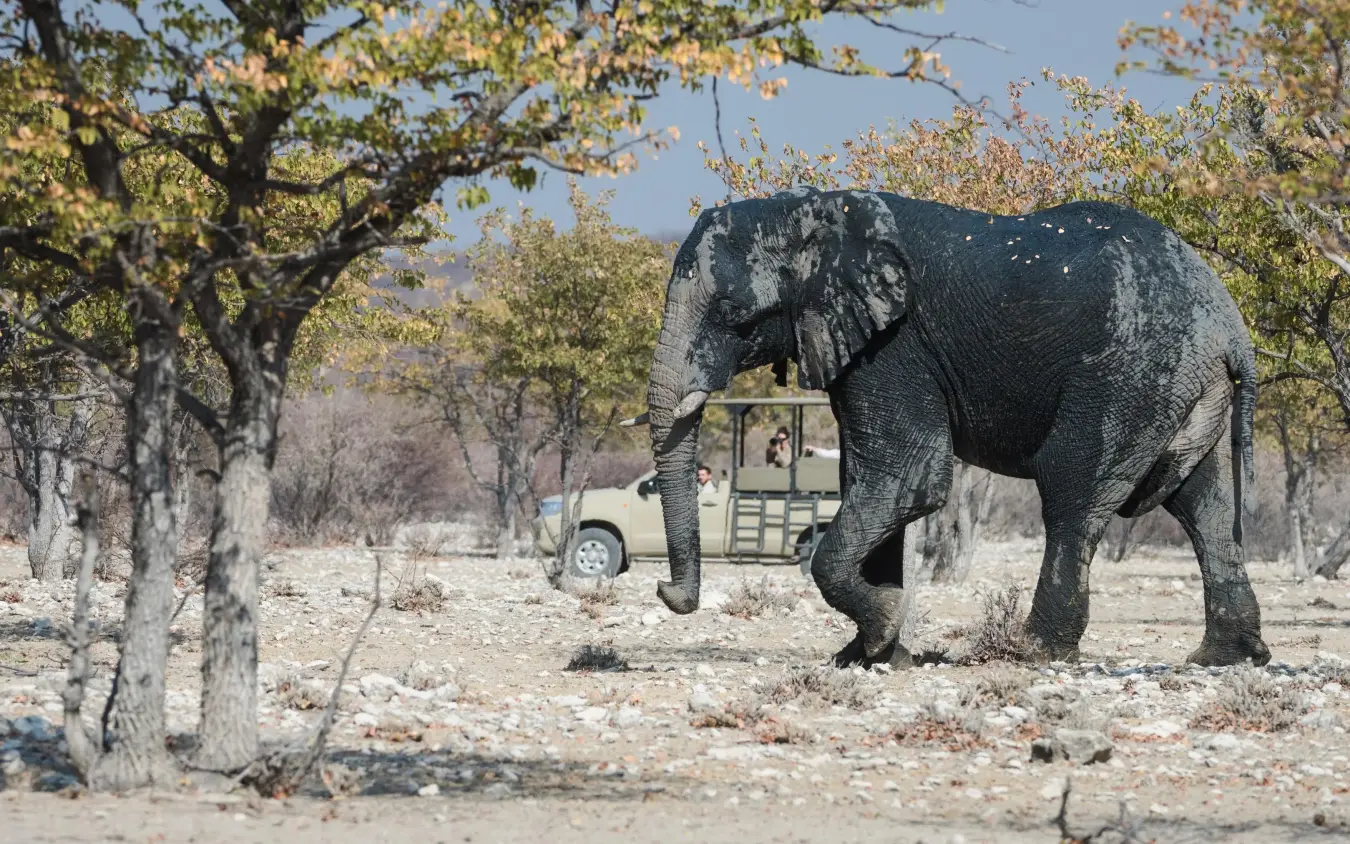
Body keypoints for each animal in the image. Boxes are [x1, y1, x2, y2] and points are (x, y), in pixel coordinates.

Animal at [638, 185, 1271, 669]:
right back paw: (1225, 658)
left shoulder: (894, 346)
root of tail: (1230, 324)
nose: (665, 590)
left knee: (1073, 492)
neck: (809, 211)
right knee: (1205, 505)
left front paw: (882, 632)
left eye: (731, 314)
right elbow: (871, 482)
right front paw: (870, 657)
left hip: (1129, 373)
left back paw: (1032, 652)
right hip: (1183, 385)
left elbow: (906, 478)